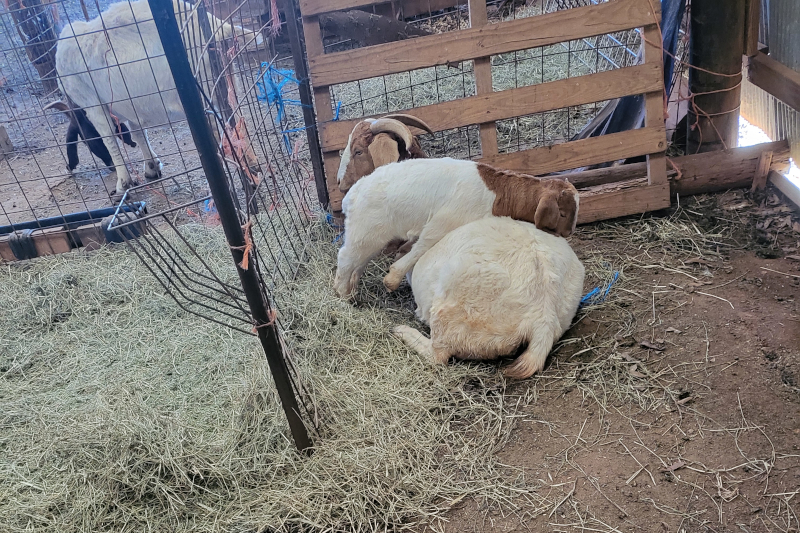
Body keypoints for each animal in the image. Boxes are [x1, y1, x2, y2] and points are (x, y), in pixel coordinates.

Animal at [55, 0, 263, 195]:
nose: (110, 167)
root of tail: (218, 27)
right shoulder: (131, 105)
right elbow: (138, 132)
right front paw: (151, 168)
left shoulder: (92, 103)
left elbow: (110, 139)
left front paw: (123, 183)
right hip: (224, 78)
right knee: (235, 119)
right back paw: (252, 168)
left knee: (217, 128)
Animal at [334, 157, 579, 299]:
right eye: (562, 213)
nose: (569, 233)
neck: (497, 194)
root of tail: (351, 195)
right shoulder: (444, 222)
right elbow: (422, 246)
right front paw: (392, 279)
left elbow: (409, 249)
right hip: (365, 231)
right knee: (345, 257)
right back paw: (342, 293)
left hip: (369, 236)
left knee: (358, 262)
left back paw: (352, 290)